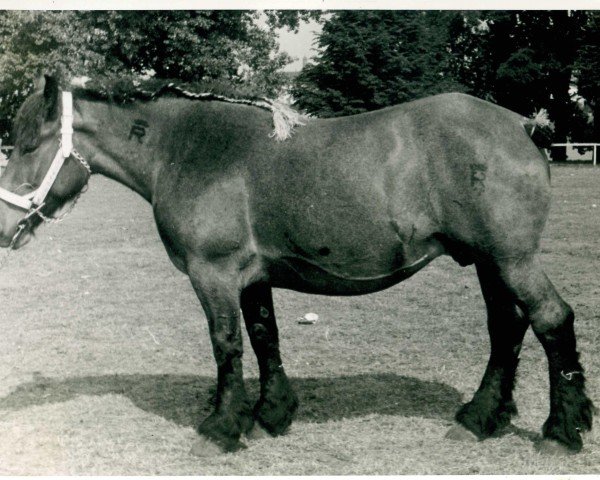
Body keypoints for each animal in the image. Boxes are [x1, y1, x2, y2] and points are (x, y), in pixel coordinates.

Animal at [0, 73, 592, 456]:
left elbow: (227, 345)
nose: (5, 229)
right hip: (490, 263)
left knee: (550, 320)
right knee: (507, 328)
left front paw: (220, 429)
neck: (192, 150)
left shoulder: (213, 274)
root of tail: (521, 125)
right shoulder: (251, 278)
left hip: (510, 260)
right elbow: (265, 338)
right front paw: (270, 416)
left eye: (28, 144)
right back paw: (477, 419)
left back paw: (560, 433)